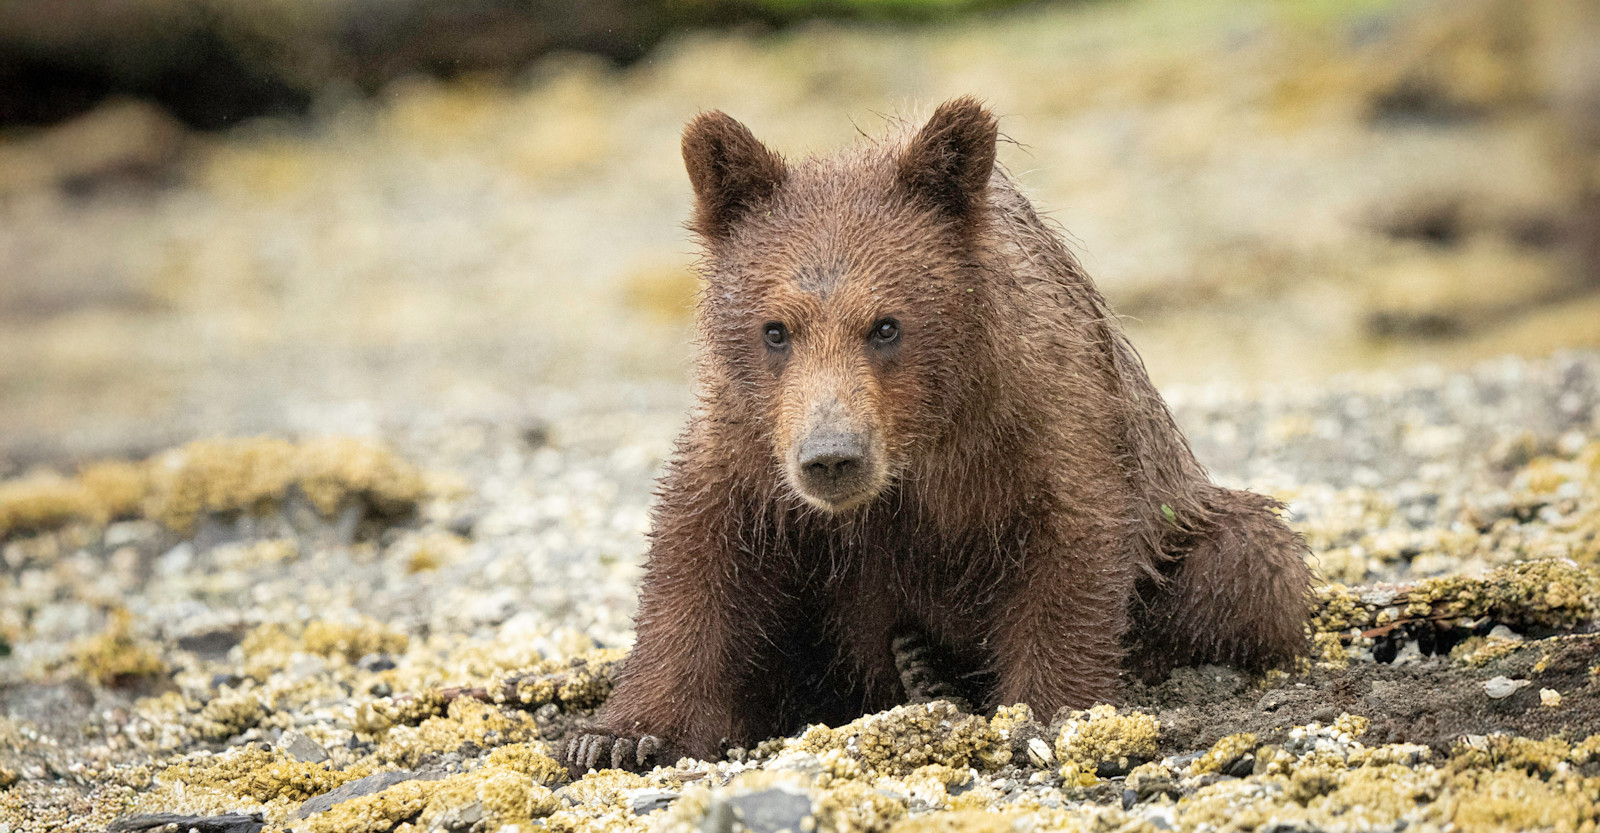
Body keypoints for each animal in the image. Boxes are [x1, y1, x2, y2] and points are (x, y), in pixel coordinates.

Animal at [564, 97, 1313, 774]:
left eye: (886, 324)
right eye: (775, 329)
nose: (832, 458)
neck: (917, 448)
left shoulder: (1044, 426)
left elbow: (1072, 552)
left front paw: (1046, 715)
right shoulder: (751, 452)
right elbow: (695, 565)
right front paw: (617, 735)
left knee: (1251, 560)